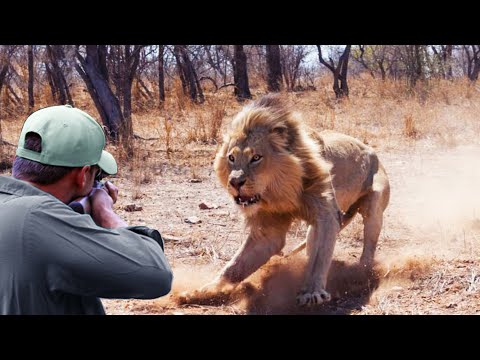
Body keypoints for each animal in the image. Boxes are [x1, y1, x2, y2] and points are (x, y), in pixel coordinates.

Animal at [184, 94, 390, 306]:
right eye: (231, 158)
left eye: (256, 158)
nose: (234, 182)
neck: (281, 193)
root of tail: (371, 150)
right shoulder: (268, 230)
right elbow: (236, 264)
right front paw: (206, 290)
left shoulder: (325, 216)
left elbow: (319, 258)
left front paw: (311, 292)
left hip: (374, 204)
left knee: (369, 242)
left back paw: (362, 272)